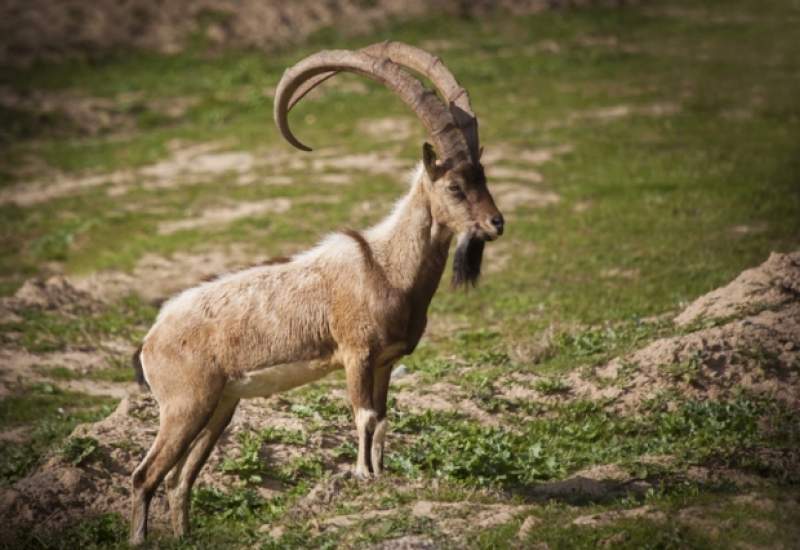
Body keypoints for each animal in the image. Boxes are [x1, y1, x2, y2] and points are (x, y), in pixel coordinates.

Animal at [131, 41, 506, 544]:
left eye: (483, 176)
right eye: (454, 186)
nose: (495, 223)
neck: (387, 267)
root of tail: (150, 341)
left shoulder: (385, 362)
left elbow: (383, 420)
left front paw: (381, 478)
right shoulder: (355, 354)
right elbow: (364, 417)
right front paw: (363, 478)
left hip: (219, 407)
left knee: (178, 479)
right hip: (182, 406)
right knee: (144, 477)